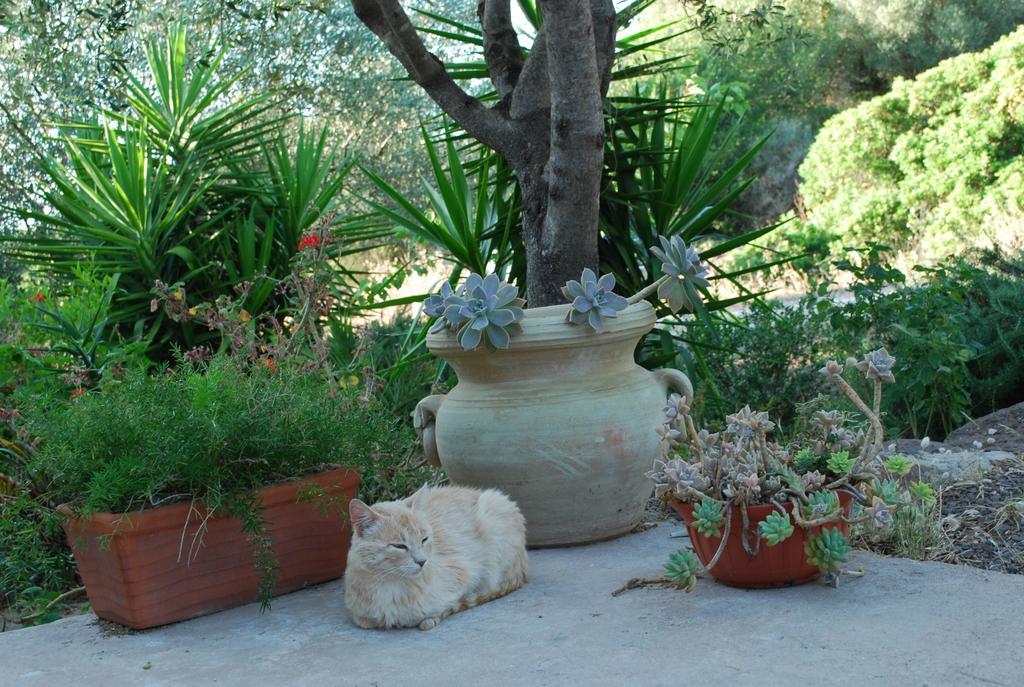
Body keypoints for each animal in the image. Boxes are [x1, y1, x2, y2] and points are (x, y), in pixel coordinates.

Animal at [344, 483, 528, 630]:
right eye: (399, 546)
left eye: (424, 539)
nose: (422, 561)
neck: (393, 586)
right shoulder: (358, 615)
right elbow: (365, 621)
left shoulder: (466, 572)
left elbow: (447, 605)